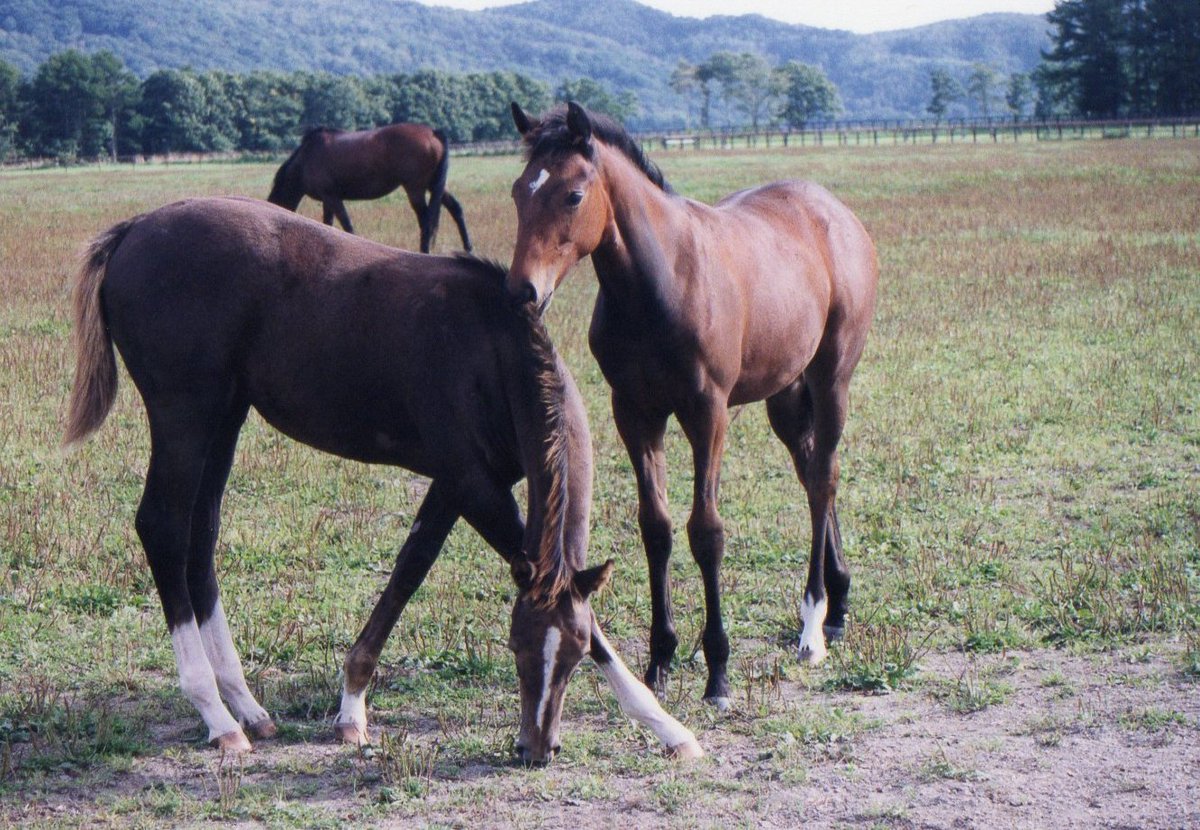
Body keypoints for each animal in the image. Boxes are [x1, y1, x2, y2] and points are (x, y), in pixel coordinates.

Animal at [64, 196, 701, 764]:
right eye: (517, 645)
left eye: (570, 658)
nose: (536, 750)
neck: (490, 347)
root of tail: (133, 230)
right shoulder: (472, 483)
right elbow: (419, 573)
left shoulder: (457, 483)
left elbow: (409, 571)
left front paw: (667, 727)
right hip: (184, 414)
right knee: (163, 528)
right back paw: (216, 715)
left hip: (223, 416)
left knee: (201, 537)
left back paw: (246, 704)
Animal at [267, 124, 473, 254]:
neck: (306, 159)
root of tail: (433, 132)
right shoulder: (328, 200)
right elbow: (328, 224)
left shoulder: (332, 197)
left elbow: (347, 226)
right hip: (435, 185)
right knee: (455, 208)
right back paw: (468, 249)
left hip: (415, 188)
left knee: (426, 220)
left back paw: (424, 251)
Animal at [507, 102, 879, 709]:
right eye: (519, 191)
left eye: (573, 195)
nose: (522, 292)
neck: (658, 285)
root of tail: (837, 213)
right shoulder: (635, 413)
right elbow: (655, 527)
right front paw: (660, 658)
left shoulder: (708, 412)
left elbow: (706, 531)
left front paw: (718, 670)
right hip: (785, 391)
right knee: (811, 471)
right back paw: (839, 603)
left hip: (831, 378)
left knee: (823, 478)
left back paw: (813, 625)